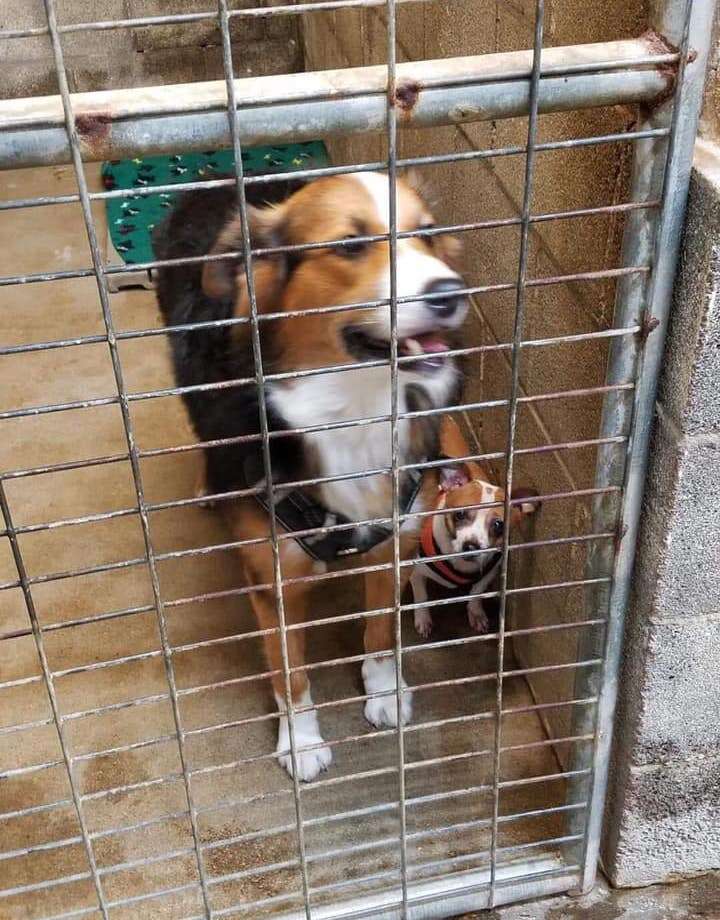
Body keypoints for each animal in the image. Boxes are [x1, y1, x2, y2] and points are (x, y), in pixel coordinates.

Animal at [155, 169, 470, 780]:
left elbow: (381, 629)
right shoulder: (272, 576)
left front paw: (384, 691)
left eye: (427, 234)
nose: (451, 292)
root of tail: (215, 180)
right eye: (351, 244)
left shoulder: (394, 536)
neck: (350, 402)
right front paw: (301, 741)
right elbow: (290, 673)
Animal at [414, 416, 536, 640]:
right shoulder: (416, 572)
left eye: (498, 524)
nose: (471, 546)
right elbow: (421, 597)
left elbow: (476, 592)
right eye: (460, 514)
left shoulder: (490, 571)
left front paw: (476, 613)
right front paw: (423, 619)